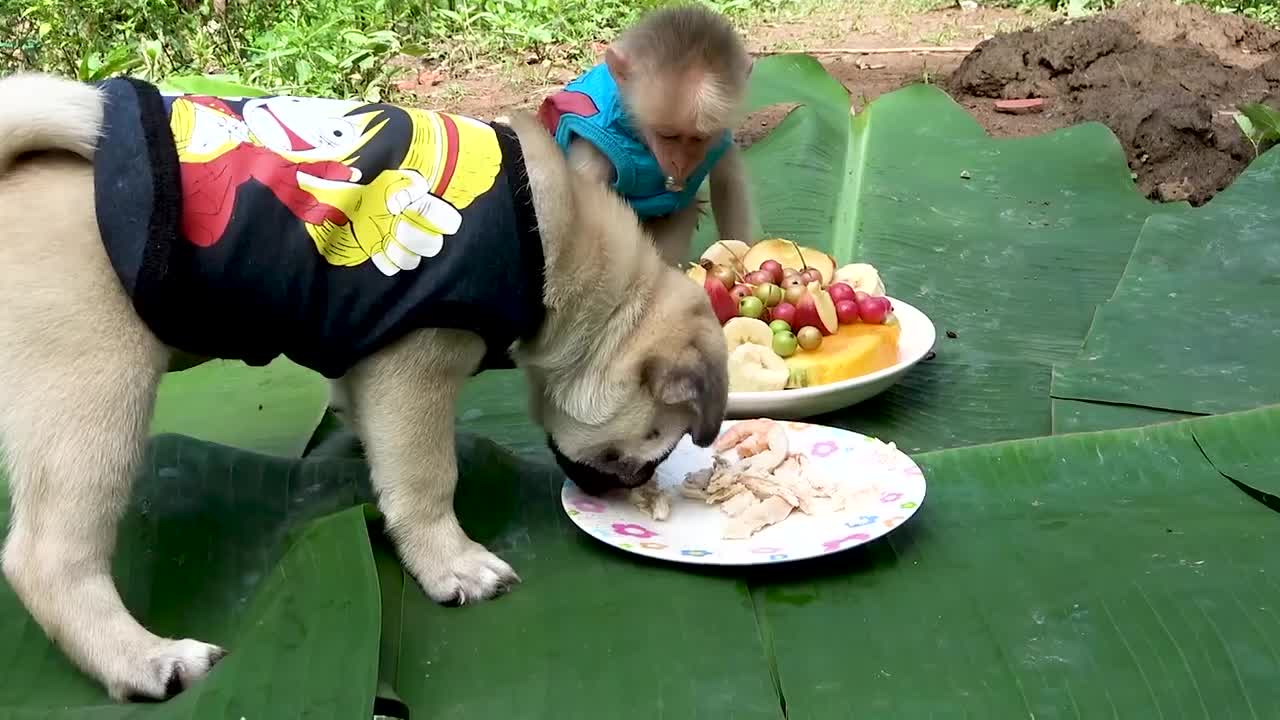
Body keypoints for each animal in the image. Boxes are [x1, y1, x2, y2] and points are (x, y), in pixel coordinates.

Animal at [0, 73, 727, 702]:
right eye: (657, 441)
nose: (632, 488)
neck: (551, 243)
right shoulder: (415, 367)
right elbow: (427, 479)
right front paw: (450, 561)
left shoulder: (361, 362)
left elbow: (368, 430)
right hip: (94, 392)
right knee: (48, 559)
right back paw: (145, 660)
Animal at [537, 3, 752, 266]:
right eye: (666, 135)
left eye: (699, 139)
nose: (679, 164)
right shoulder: (594, 147)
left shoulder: (720, 138)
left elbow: (727, 183)